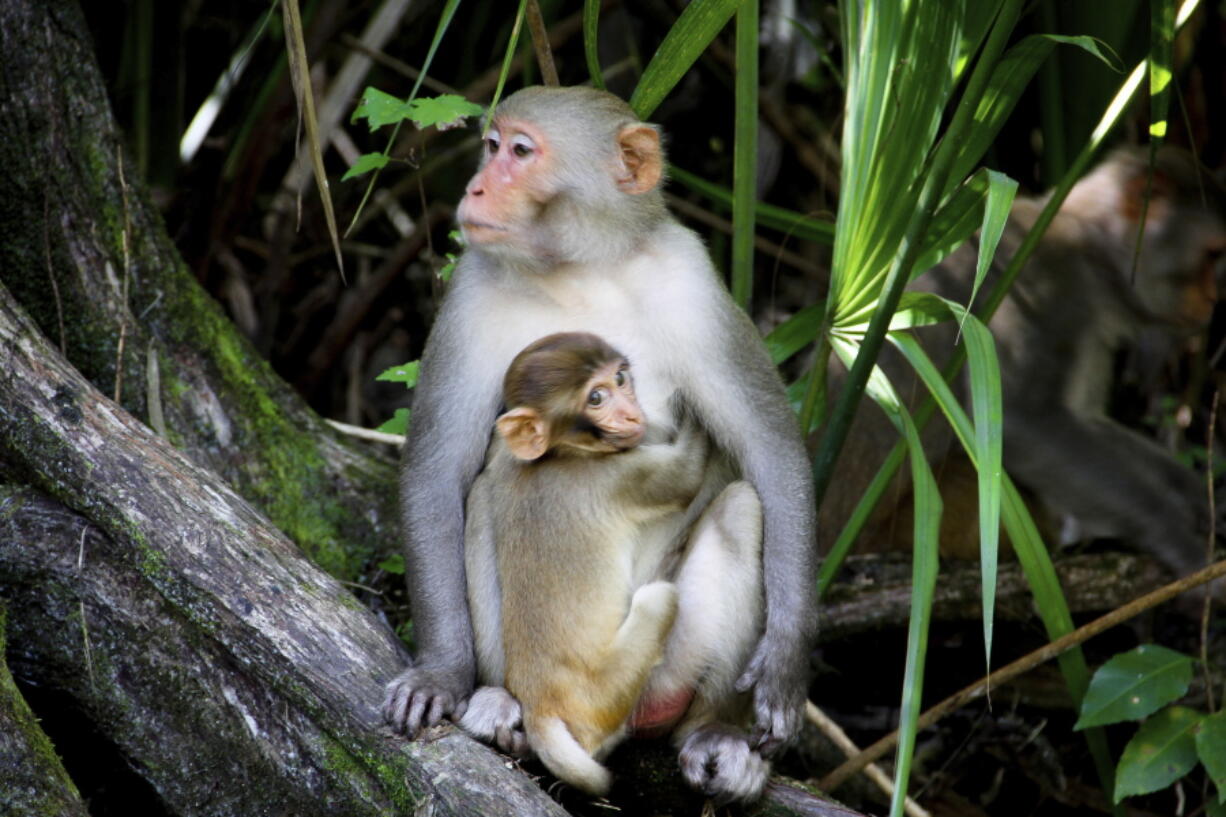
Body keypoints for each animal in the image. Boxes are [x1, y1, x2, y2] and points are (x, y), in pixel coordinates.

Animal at [463, 328, 715, 790]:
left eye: (620, 378)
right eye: (596, 398)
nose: (632, 412)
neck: (565, 452)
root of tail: (539, 705)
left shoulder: (508, 464)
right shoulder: (622, 476)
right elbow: (687, 474)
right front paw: (690, 407)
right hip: (605, 695)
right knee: (659, 599)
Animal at [828, 146, 1221, 579]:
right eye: (1212, 255)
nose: (1213, 298)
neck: (1091, 248)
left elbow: (1085, 420)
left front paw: (1196, 494)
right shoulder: (1053, 286)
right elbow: (1024, 423)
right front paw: (1176, 537)